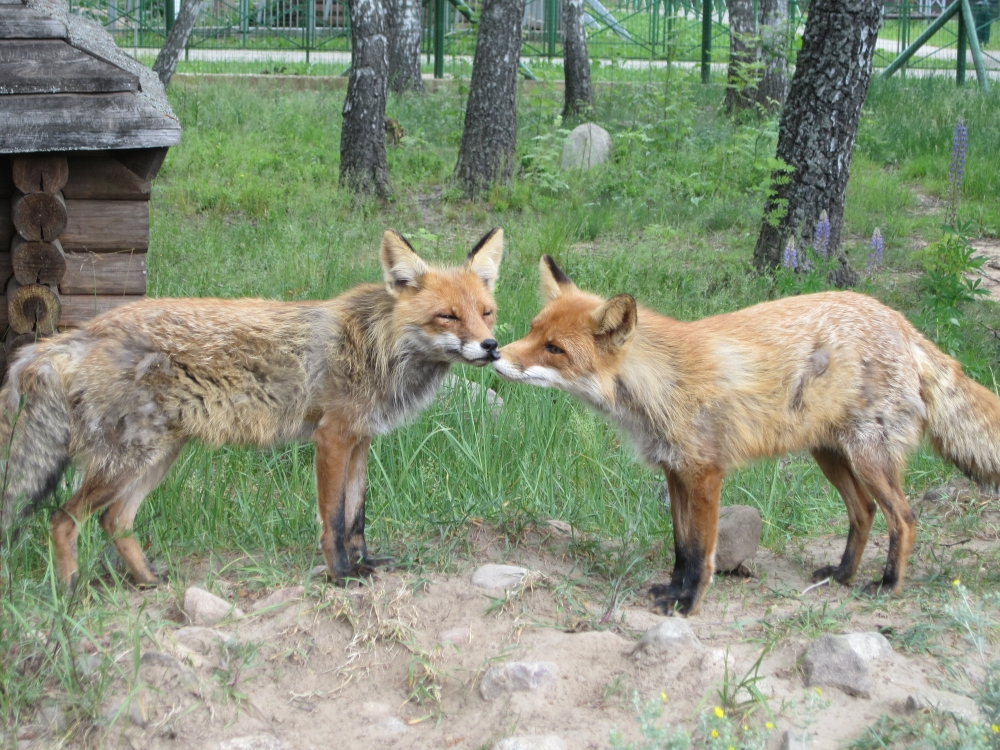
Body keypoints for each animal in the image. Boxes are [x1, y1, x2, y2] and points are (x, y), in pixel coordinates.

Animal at [0, 226, 504, 592]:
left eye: (486, 312)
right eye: (447, 316)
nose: (492, 347)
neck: (379, 346)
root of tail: (76, 334)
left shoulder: (360, 439)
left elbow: (357, 516)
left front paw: (365, 563)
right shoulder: (332, 438)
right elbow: (333, 519)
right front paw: (341, 576)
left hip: (157, 457)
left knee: (115, 520)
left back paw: (147, 582)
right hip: (126, 460)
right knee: (62, 520)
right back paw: (70, 594)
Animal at [490, 256, 1000, 620]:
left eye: (554, 348)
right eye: (533, 330)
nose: (495, 354)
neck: (659, 385)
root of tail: (902, 322)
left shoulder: (705, 474)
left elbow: (701, 554)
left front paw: (687, 605)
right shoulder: (675, 471)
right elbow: (681, 548)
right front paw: (671, 592)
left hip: (867, 458)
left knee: (904, 518)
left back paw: (888, 585)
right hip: (830, 455)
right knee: (865, 512)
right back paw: (841, 575)